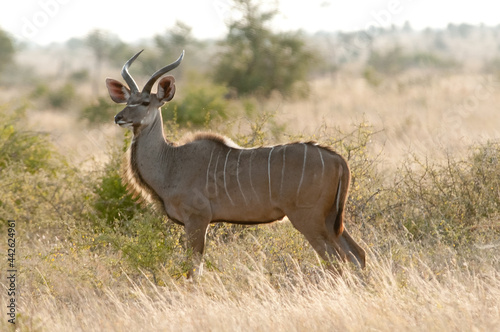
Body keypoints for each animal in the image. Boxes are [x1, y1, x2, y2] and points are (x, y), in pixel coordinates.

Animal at [106, 50, 364, 278]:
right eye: (127, 101)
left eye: (145, 102)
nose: (119, 118)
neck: (171, 161)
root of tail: (337, 159)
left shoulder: (197, 219)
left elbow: (193, 269)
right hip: (330, 220)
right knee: (357, 254)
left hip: (309, 219)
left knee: (336, 261)